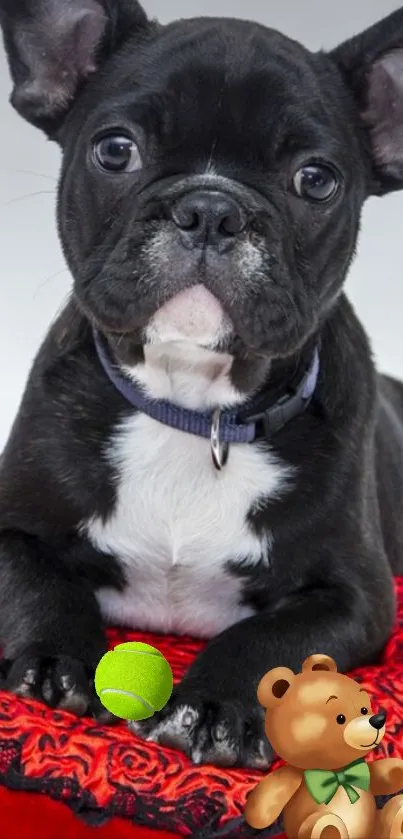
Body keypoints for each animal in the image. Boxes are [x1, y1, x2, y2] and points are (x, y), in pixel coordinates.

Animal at [0, 0, 403, 772]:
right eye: (115, 150)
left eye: (316, 180)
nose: (212, 209)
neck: (193, 408)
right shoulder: (9, 527)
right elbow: (37, 578)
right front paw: (55, 658)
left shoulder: (356, 596)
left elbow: (269, 641)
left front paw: (212, 707)